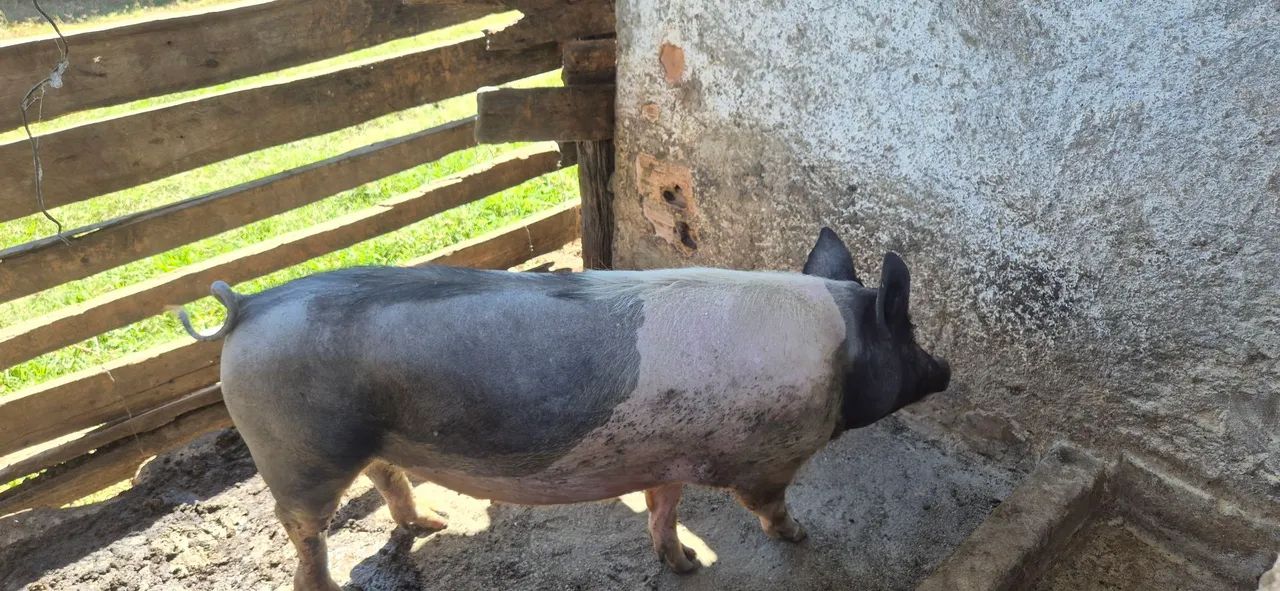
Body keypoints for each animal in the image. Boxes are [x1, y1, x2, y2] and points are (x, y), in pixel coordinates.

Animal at [175, 228, 950, 590]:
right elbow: (769, 506)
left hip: (360, 442)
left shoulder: (664, 452)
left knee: (386, 476)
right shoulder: (769, 459)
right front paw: (802, 538)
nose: (945, 369)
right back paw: (327, 578)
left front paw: (684, 566)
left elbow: (664, 507)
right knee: (305, 530)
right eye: (910, 330)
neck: (837, 358)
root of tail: (246, 305)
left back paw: (430, 523)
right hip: (297, 453)